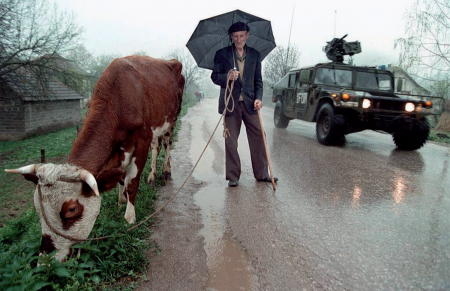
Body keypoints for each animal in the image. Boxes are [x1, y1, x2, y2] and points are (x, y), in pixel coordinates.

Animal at [5, 56, 185, 262]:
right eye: (36, 208)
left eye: (72, 209)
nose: (47, 261)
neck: (120, 97)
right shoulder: (117, 151)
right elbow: (120, 176)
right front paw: (121, 200)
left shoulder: (142, 140)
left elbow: (132, 182)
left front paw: (129, 217)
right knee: (157, 146)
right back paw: (152, 176)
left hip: (172, 118)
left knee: (166, 144)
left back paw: (165, 172)